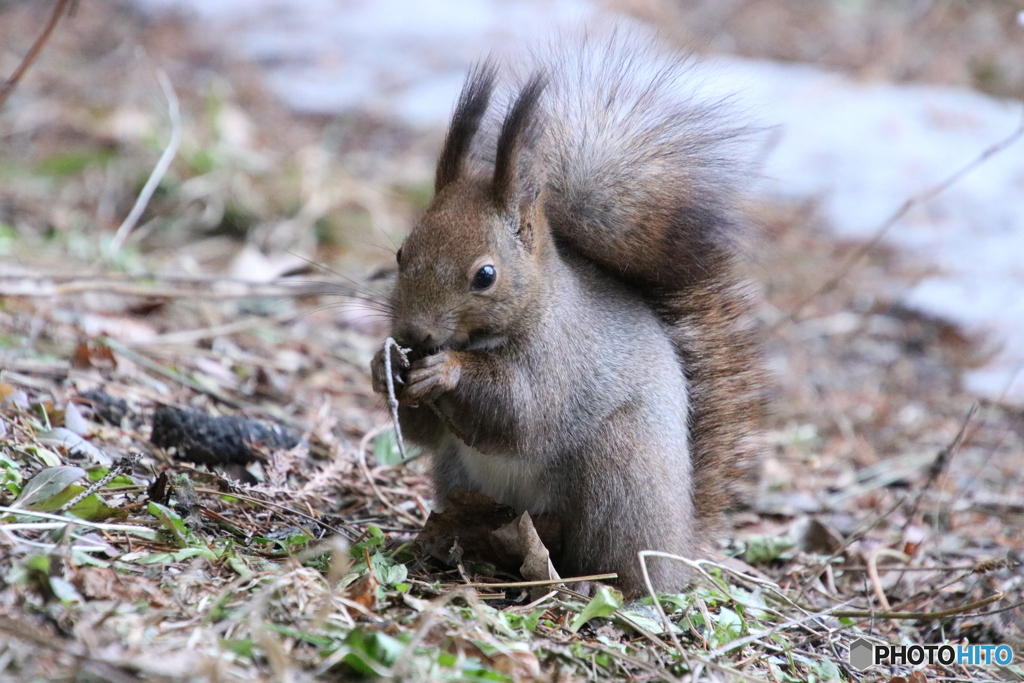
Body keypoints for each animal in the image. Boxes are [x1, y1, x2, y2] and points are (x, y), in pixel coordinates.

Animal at [372, 30, 765, 598]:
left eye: (485, 275)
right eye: (402, 253)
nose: (412, 332)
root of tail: (678, 550)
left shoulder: (561, 361)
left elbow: (520, 411)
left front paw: (445, 370)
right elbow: (427, 431)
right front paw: (382, 369)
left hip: (616, 474)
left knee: (613, 561)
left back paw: (591, 583)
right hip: (458, 474)